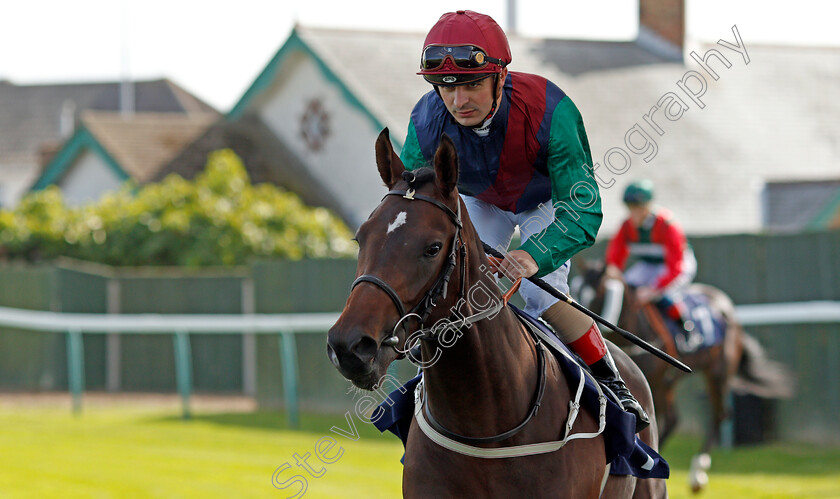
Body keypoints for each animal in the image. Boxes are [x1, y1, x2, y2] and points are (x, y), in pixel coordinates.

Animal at [576, 264, 792, 494]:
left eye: (600, 294)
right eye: (577, 288)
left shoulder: (653, 382)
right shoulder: (655, 383)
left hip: (717, 372)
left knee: (720, 414)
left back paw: (697, 474)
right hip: (671, 383)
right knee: (675, 418)